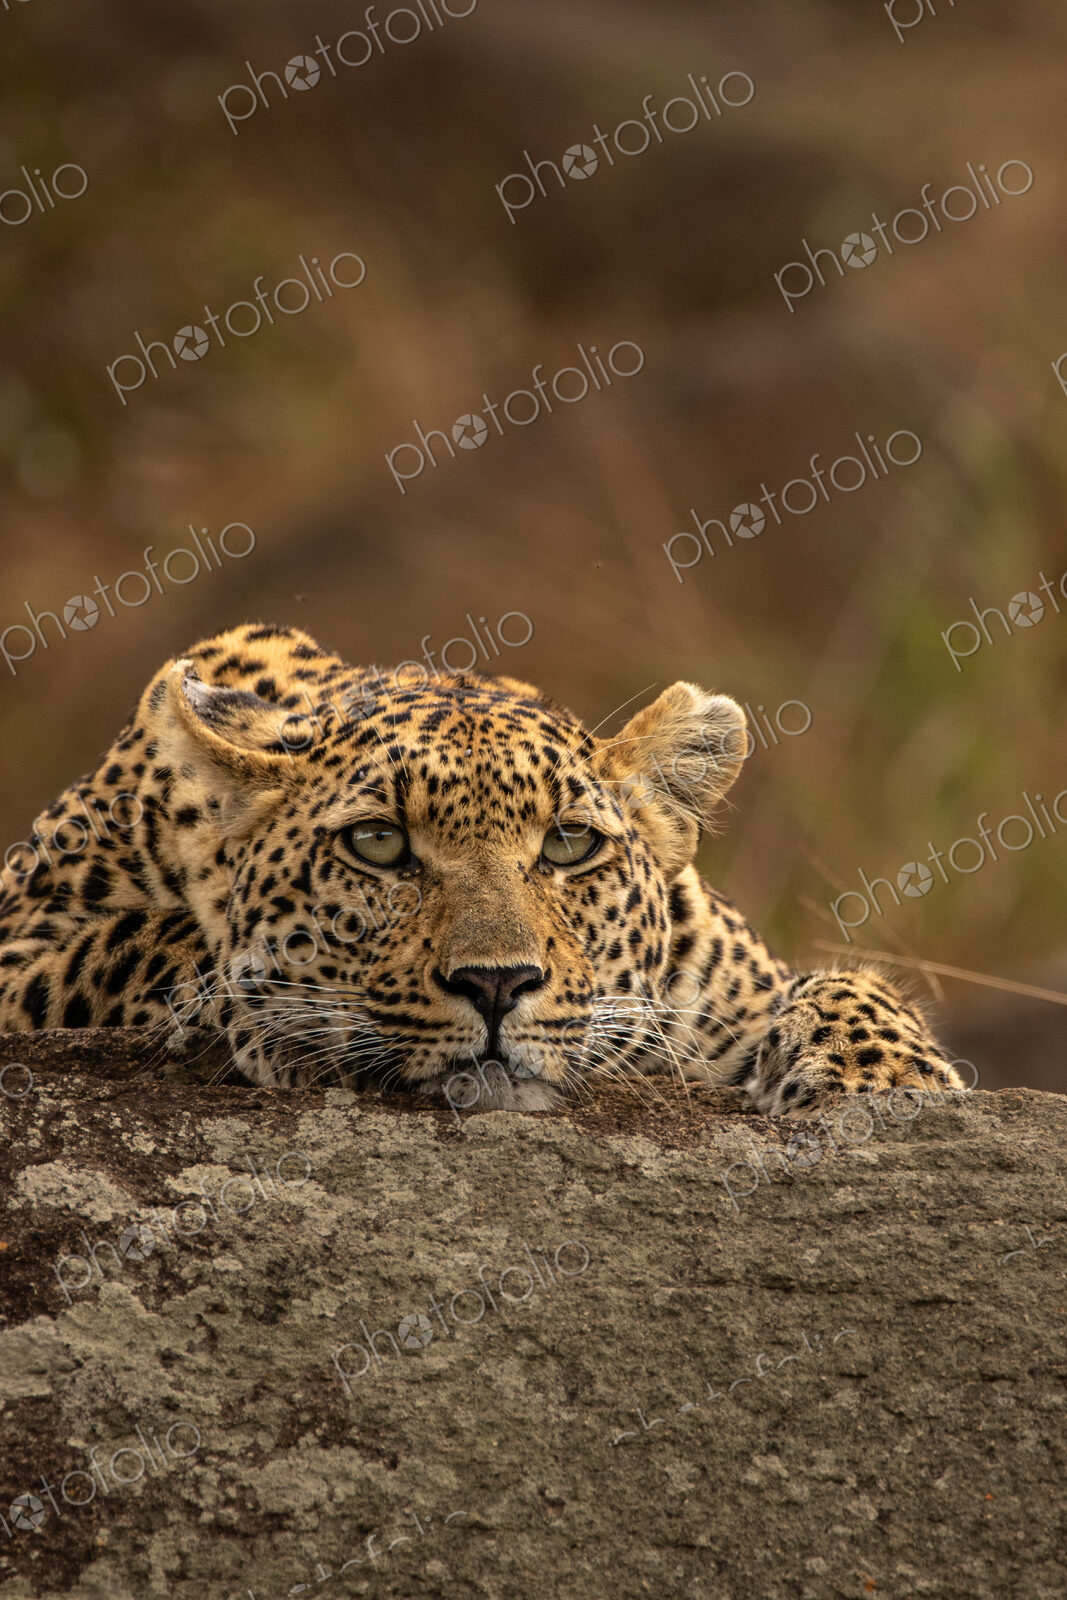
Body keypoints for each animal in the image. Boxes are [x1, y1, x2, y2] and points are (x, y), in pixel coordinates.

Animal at [0, 622, 965, 1115]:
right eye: (377, 844)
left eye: (569, 844)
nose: (497, 985)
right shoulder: (23, 946)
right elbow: (153, 941)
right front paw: (275, 1019)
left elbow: (844, 985)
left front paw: (883, 1079)